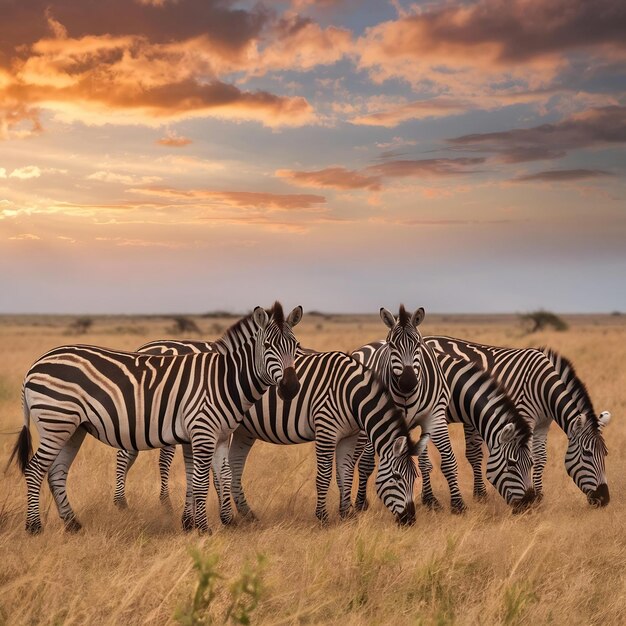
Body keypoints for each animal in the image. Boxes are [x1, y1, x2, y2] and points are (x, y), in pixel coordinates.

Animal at [9, 302, 302, 532]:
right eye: (267, 346)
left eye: (296, 346)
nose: (290, 388)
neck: (221, 380)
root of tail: (35, 365)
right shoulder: (202, 433)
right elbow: (201, 482)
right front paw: (204, 529)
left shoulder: (218, 436)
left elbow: (223, 475)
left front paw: (226, 523)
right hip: (56, 421)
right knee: (35, 469)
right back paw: (34, 527)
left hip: (72, 428)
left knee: (56, 471)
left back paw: (72, 524)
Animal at [116, 342, 428, 528]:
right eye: (397, 478)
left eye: (415, 477)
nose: (411, 520)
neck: (350, 392)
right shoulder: (326, 428)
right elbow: (325, 475)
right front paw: (323, 518)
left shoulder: (349, 435)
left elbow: (344, 473)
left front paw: (347, 514)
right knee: (128, 455)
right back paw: (124, 505)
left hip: (235, 430)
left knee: (229, 468)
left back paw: (240, 514)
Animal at [352, 304, 464, 516]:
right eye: (392, 345)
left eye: (418, 344)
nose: (408, 382)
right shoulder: (377, 419)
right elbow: (367, 463)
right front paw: (361, 504)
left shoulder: (435, 417)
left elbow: (448, 461)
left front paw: (458, 504)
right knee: (357, 460)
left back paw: (431, 499)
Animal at [354, 352, 532, 512]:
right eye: (511, 464)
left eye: (531, 463)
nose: (529, 504)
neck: (458, 391)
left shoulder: (466, 421)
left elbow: (472, 455)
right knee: (361, 459)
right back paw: (360, 503)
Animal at [424, 334, 608, 504]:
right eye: (587, 453)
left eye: (605, 454)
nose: (604, 499)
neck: (542, 386)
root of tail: (427, 337)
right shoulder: (523, 418)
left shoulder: (543, 424)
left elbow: (540, 458)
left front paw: (539, 495)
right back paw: (430, 500)